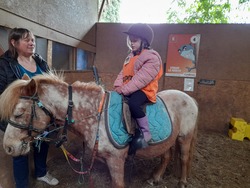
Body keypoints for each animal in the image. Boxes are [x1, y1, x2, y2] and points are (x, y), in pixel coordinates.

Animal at [0, 73, 199, 188]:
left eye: (19, 113)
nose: (8, 147)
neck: (95, 115)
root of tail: (190, 98)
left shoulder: (116, 161)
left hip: (185, 137)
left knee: (184, 158)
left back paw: (182, 182)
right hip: (168, 140)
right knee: (166, 156)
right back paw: (155, 178)